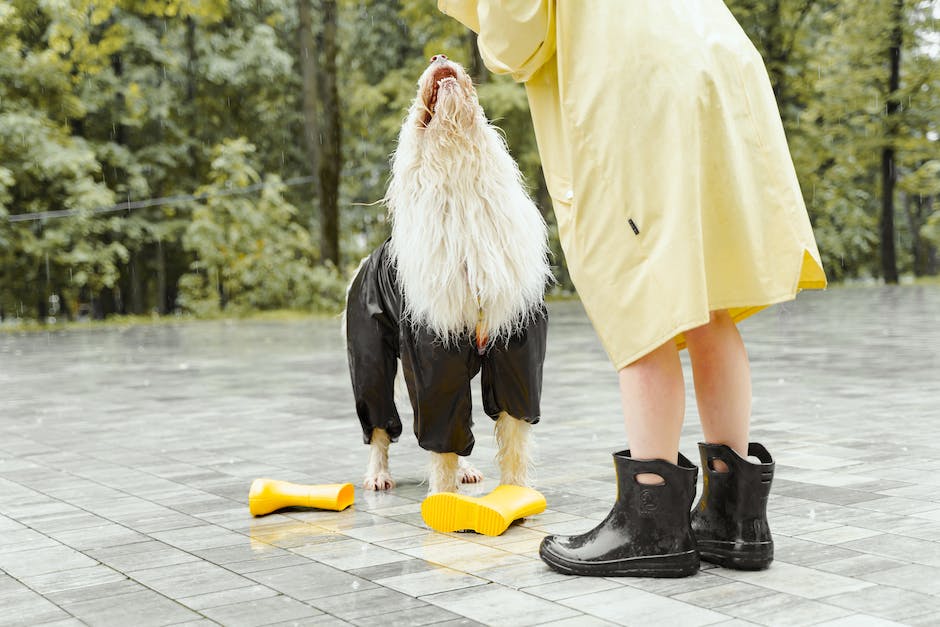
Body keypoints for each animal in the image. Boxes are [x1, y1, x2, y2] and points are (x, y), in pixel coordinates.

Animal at [346, 54, 552, 496]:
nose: (438, 57)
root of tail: (368, 257)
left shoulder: (517, 348)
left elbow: (513, 435)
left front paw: (515, 494)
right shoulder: (432, 355)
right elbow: (441, 437)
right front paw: (443, 498)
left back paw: (466, 471)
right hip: (369, 359)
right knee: (379, 424)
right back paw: (378, 475)